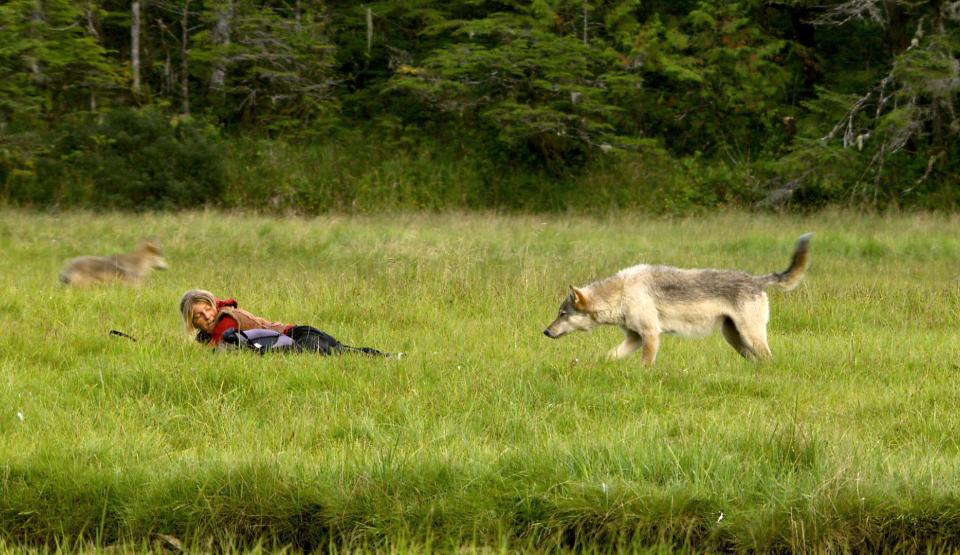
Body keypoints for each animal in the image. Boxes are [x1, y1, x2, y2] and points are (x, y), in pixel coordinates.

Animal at [544, 233, 812, 368]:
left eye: (562, 314)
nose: (545, 332)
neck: (621, 294)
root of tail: (757, 279)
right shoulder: (634, 338)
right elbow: (608, 356)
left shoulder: (651, 335)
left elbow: (645, 365)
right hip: (735, 338)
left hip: (750, 335)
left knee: (769, 359)